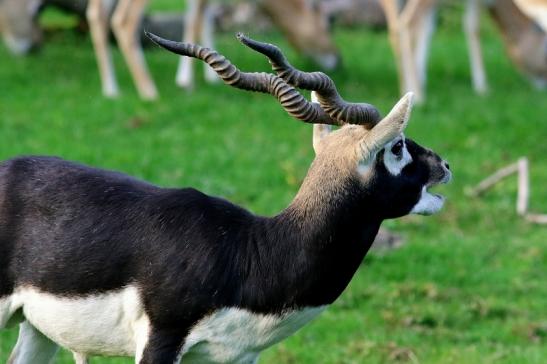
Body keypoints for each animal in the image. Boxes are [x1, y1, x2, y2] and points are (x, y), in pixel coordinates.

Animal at [1, 32, 450, 362]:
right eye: (397, 146)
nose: (444, 165)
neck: (250, 250)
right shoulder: (161, 339)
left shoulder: (235, 356)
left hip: (38, 330)